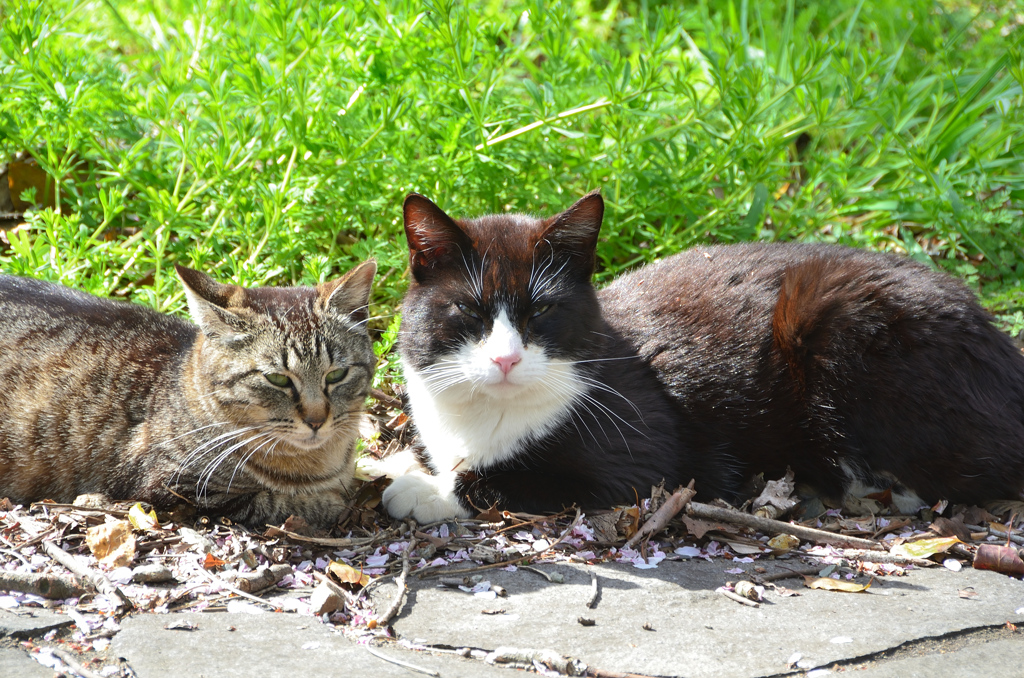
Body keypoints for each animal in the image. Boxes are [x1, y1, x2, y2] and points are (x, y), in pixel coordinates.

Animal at [0, 261, 376, 532]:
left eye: (336, 375)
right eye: (278, 379)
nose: (316, 420)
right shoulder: (174, 488)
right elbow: (280, 502)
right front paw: (329, 503)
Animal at [378, 193, 1024, 522]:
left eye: (541, 312)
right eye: (469, 311)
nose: (506, 359)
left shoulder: (641, 457)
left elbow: (501, 478)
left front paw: (425, 491)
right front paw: (396, 464)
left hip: (840, 319)